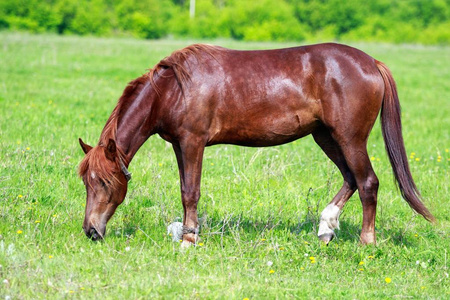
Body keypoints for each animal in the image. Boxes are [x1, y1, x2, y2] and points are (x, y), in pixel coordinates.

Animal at [79, 43, 434, 247]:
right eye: (86, 183)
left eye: (105, 183)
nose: (91, 231)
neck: (172, 89)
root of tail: (372, 62)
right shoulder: (180, 145)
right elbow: (184, 190)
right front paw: (187, 233)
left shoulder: (193, 142)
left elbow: (190, 192)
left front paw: (189, 240)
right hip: (326, 136)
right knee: (351, 179)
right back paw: (325, 228)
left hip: (349, 138)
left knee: (367, 182)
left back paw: (366, 242)